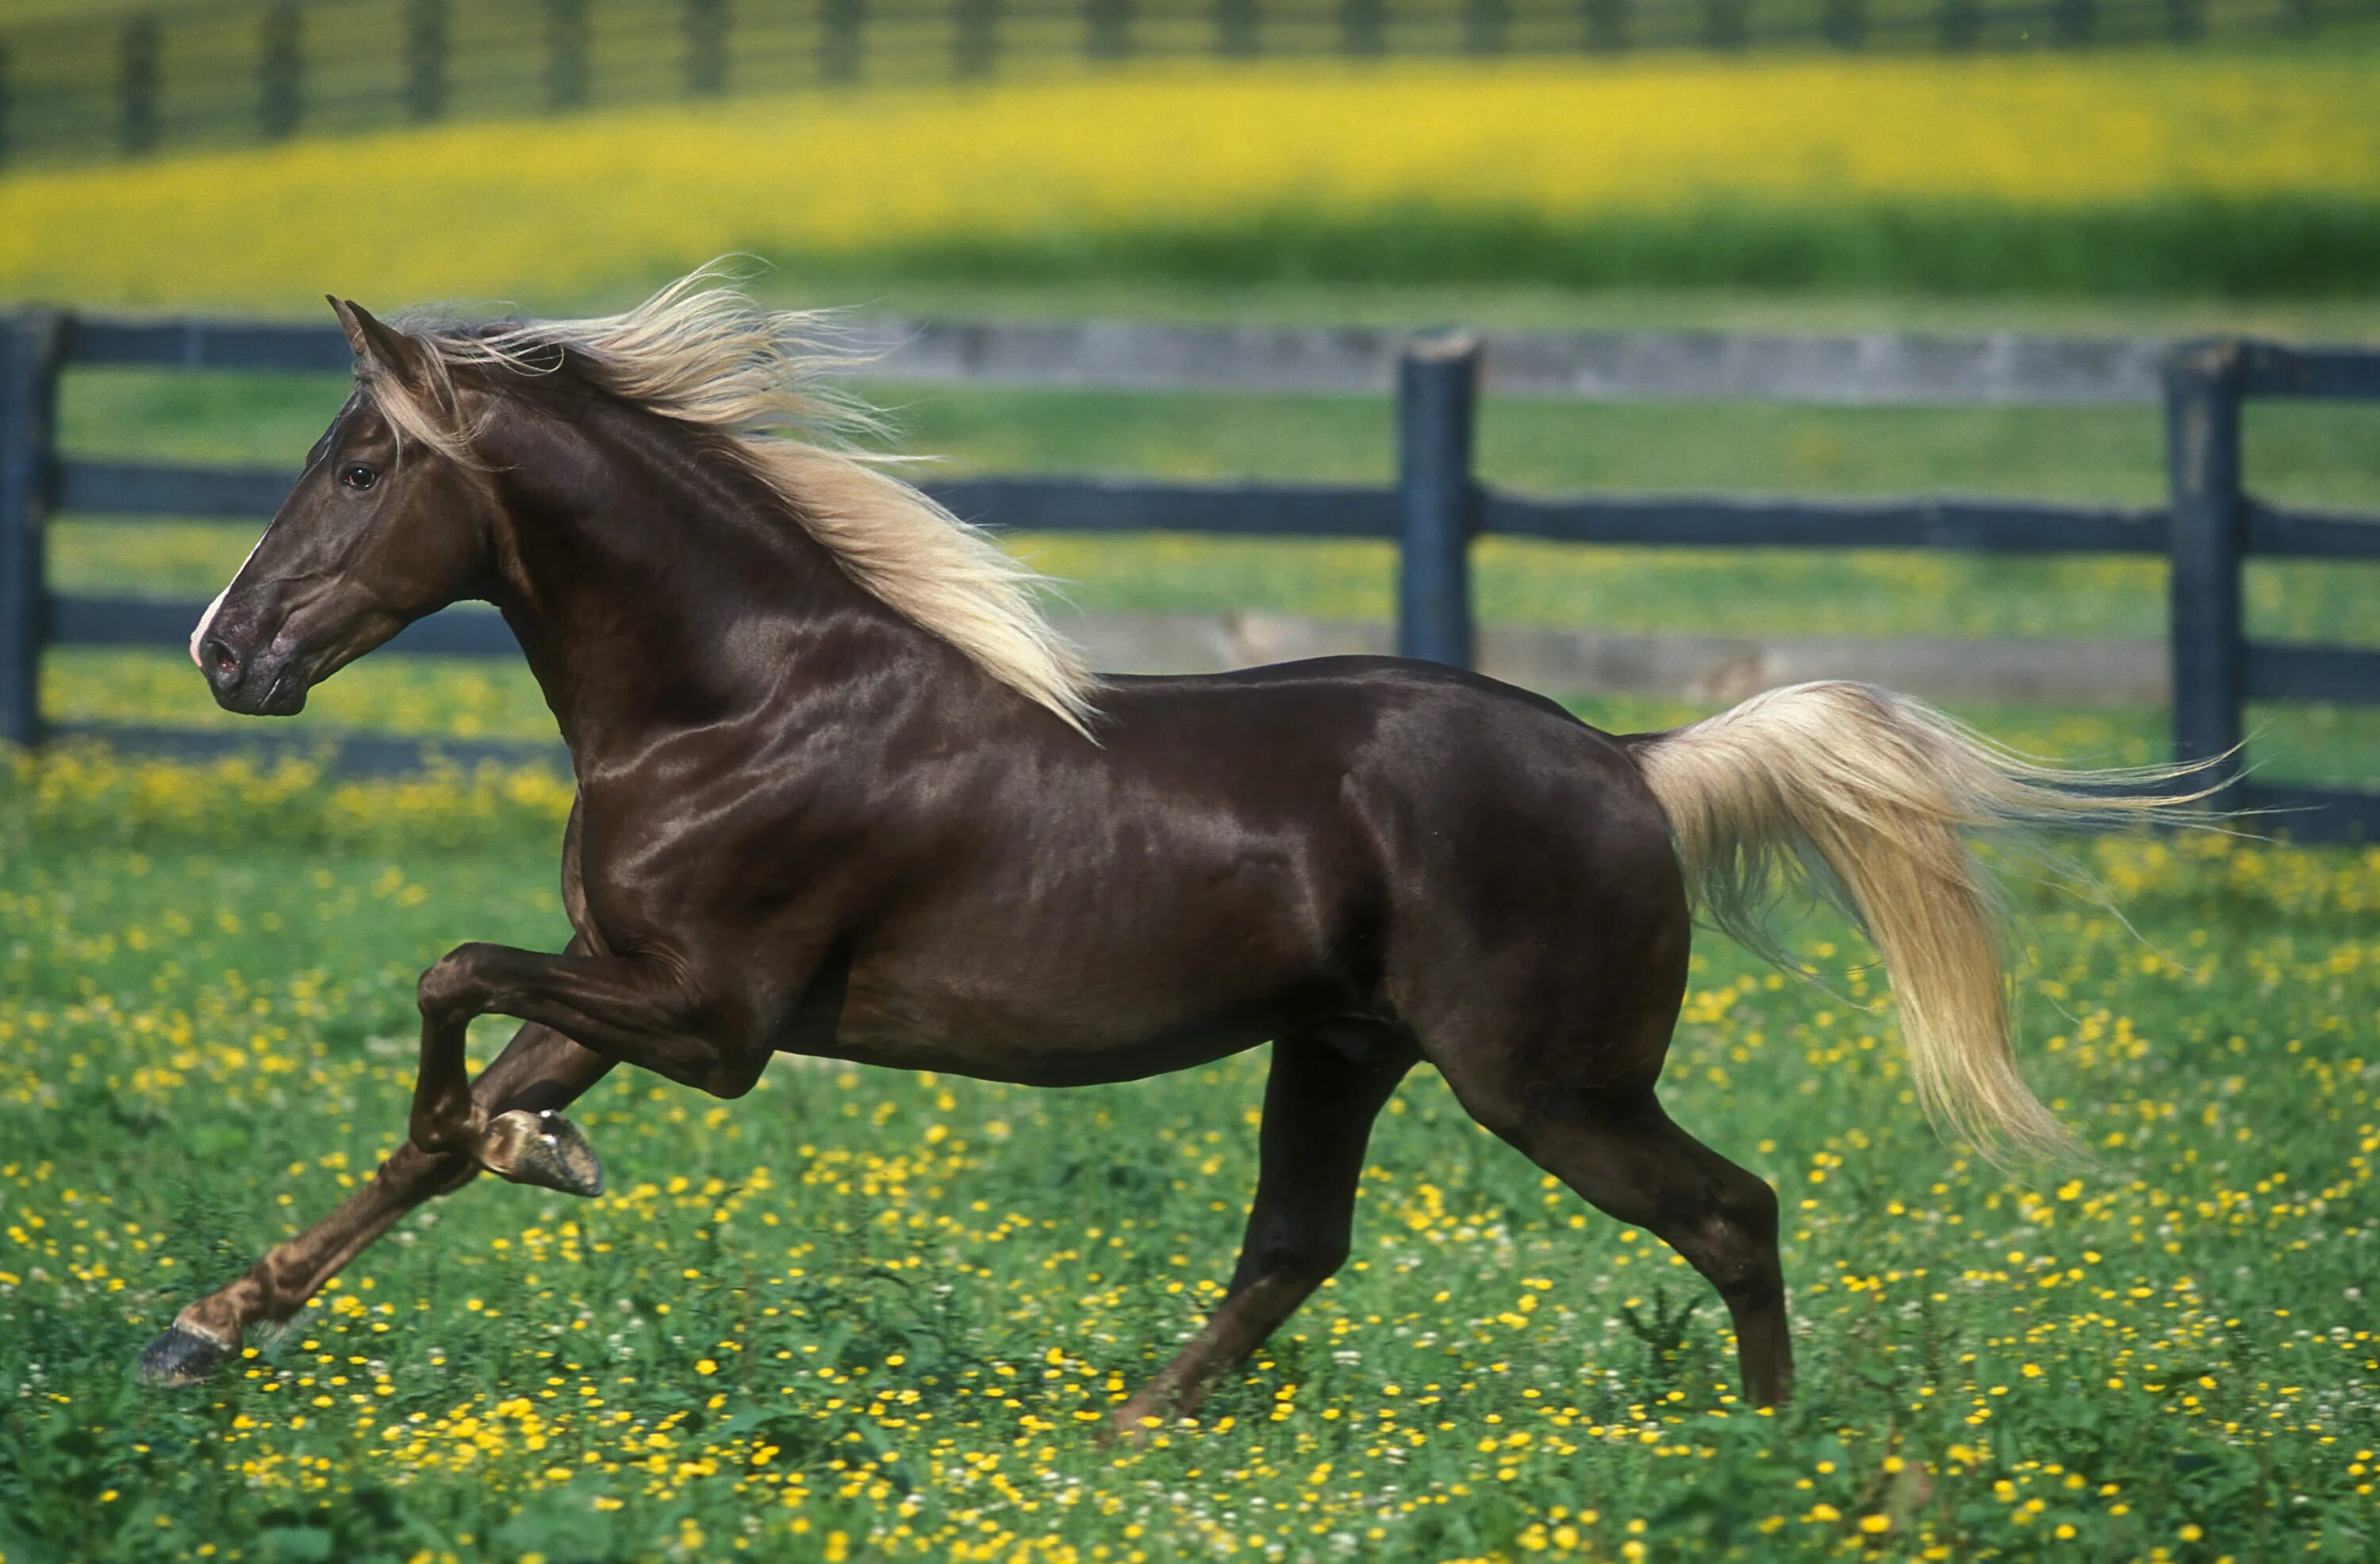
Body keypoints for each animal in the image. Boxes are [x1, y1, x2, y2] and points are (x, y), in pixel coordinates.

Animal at [144, 271, 2190, 1428]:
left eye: (354, 466)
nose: (224, 655)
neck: (735, 699)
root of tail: (1635, 759)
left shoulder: (715, 1021)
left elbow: (444, 989)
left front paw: (524, 1158)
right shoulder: (627, 987)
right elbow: (434, 1123)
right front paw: (206, 1329)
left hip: (1546, 1080)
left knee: (1729, 1211)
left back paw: (1762, 1453)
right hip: (1342, 1049)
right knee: (1295, 1242)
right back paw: (1133, 1428)